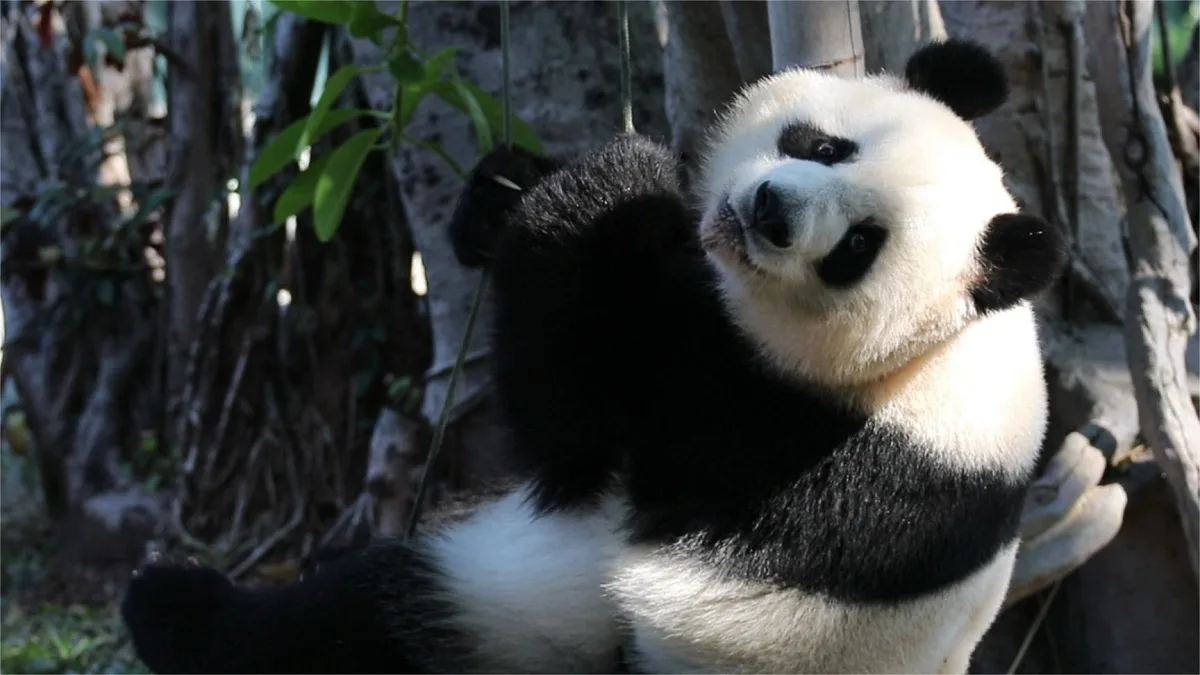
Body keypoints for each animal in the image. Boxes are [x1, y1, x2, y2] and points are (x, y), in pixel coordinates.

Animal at [119, 38, 1066, 674]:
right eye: (825, 145)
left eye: (859, 247)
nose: (769, 212)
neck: (942, 346)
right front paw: (500, 191)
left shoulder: (783, 437)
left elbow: (570, 420)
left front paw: (607, 182)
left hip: (552, 620)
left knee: (359, 622)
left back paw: (175, 604)